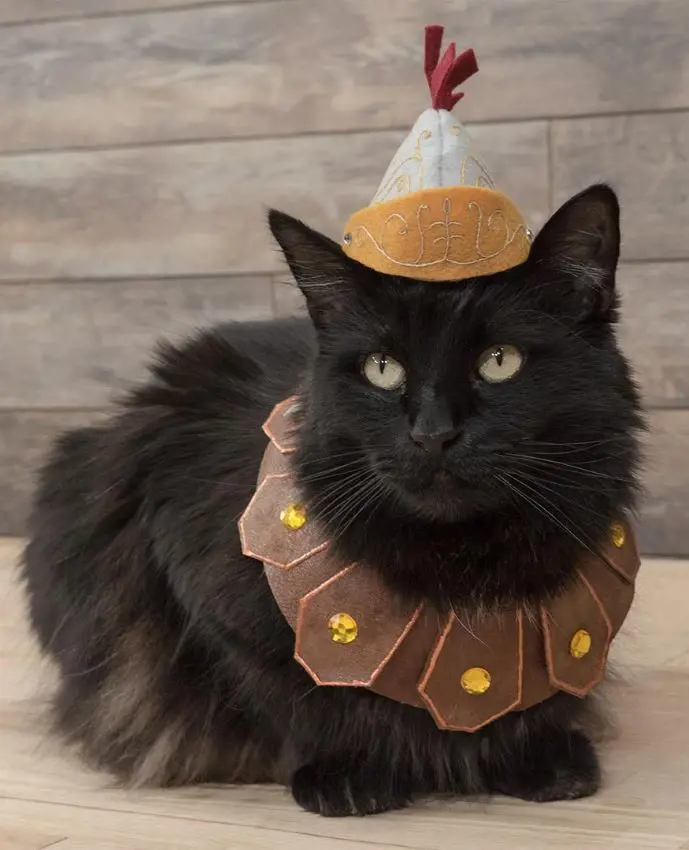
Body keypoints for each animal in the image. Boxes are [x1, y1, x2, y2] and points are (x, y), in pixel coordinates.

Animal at [22, 186, 644, 816]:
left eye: (500, 361)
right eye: (381, 369)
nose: (432, 433)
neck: (460, 571)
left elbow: (529, 708)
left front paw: (542, 762)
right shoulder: (210, 604)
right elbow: (304, 704)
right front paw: (350, 775)